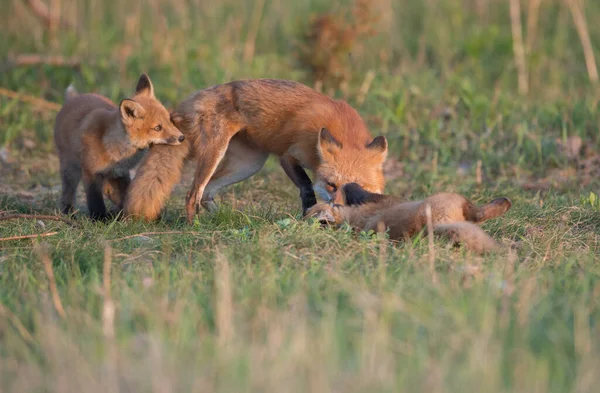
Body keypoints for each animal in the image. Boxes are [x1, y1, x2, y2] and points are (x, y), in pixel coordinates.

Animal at [54, 74, 185, 220]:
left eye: (169, 120)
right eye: (157, 128)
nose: (182, 137)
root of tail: (75, 97)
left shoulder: (120, 173)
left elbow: (127, 196)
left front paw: (128, 214)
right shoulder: (90, 173)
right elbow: (95, 200)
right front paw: (99, 218)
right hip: (70, 169)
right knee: (68, 193)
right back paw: (68, 213)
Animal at [125, 78, 390, 222]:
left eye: (355, 187)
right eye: (331, 185)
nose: (336, 208)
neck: (344, 129)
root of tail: (180, 108)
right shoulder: (289, 155)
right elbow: (306, 188)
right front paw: (307, 215)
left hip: (248, 164)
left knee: (207, 193)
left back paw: (225, 219)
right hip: (215, 153)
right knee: (192, 195)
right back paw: (194, 228)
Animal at [304, 182, 510, 253]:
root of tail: (431, 225)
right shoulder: (380, 200)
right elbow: (353, 187)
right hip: (456, 201)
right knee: (479, 214)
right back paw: (504, 203)